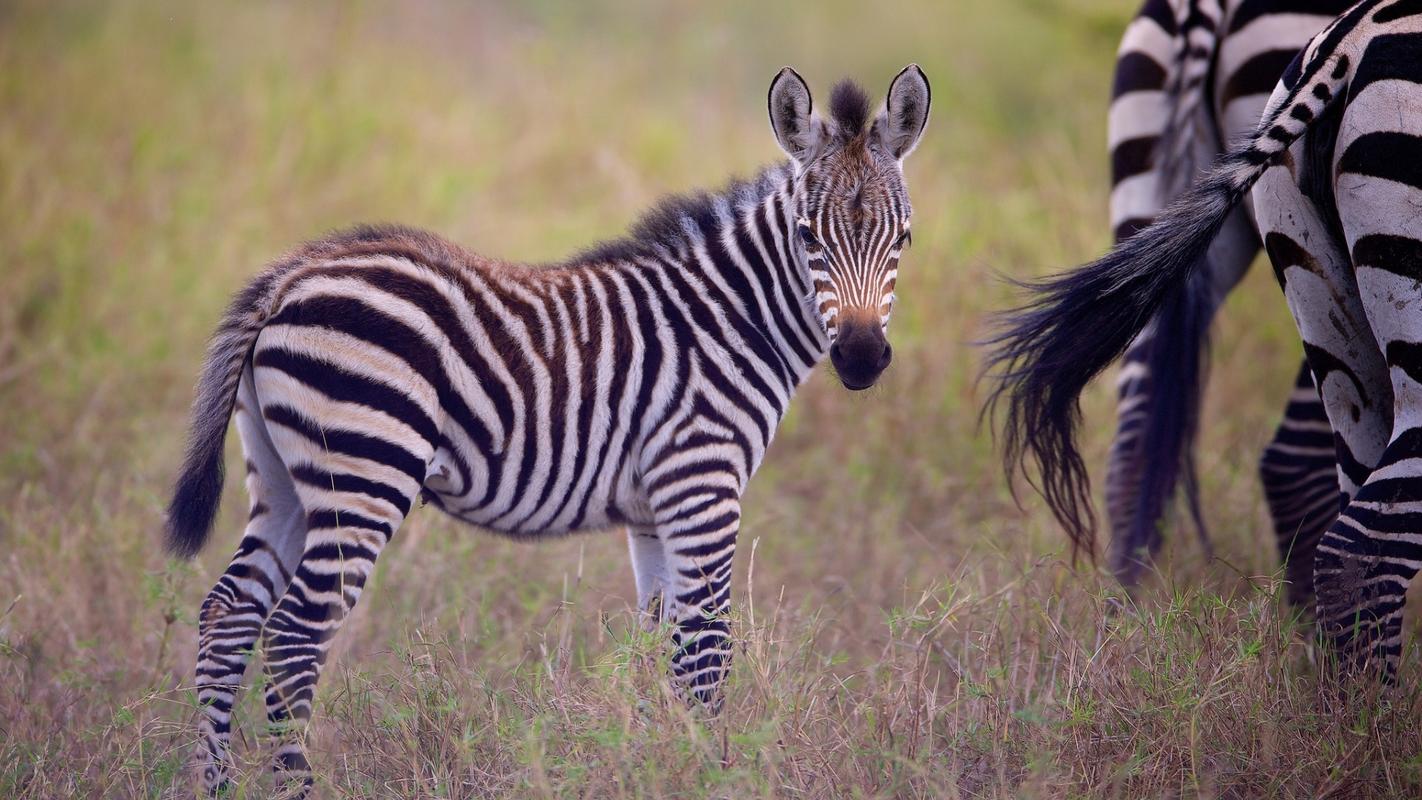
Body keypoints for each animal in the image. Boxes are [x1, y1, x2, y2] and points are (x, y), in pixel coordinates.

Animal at [166, 67, 932, 795]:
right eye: (808, 237)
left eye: (903, 238)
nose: (861, 358)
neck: (731, 320)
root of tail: (289, 276)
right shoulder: (702, 482)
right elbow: (707, 651)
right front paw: (713, 774)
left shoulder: (652, 510)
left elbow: (661, 647)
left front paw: (652, 765)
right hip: (363, 470)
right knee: (295, 635)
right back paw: (294, 785)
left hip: (283, 477)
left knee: (228, 616)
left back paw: (218, 785)